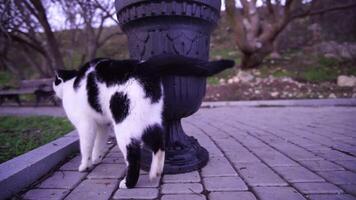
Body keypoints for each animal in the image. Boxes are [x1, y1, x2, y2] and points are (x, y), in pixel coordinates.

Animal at [52, 54, 234, 188]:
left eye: (55, 81)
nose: (53, 91)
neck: (71, 84)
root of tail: (144, 65)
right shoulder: (102, 125)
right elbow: (99, 142)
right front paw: (97, 158)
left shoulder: (86, 125)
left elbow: (86, 146)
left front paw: (85, 165)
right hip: (149, 118)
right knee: (159, 143)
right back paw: (155, 172)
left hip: (125, 126)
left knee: (133, 154)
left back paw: (128, 183)